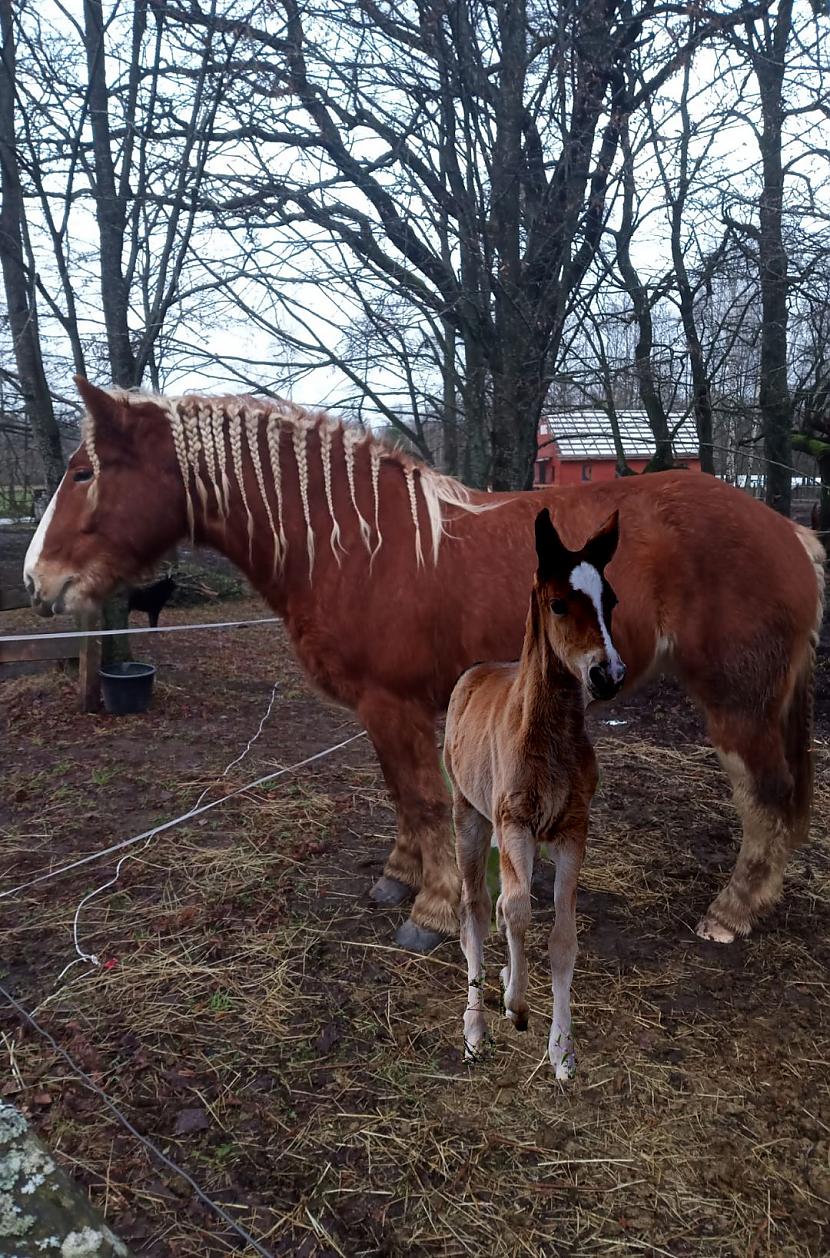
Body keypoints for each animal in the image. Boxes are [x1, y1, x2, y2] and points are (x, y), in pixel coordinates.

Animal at [22, 377, 819, 946]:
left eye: (84, 472)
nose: (37, 581)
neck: (357, 545)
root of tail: (789, 531)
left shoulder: (395, 704)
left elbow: (425, 799)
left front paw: (432, 913)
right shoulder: (381, 712)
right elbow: (402, 797)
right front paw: (397, 879)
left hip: (737, 703)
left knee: (765, 796)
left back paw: (732, 911)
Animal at [447, 505, 623, 1076]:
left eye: (611, 601)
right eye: (558, 603)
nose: (608, 674)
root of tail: (474, 671)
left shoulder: (571, 831)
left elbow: (561, 937)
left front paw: (562, 1050)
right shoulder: (515, 823)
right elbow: (517, 911)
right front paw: (517, 1008)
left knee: (501, 903)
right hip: (471, 817)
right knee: (478, 911)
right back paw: (476, 1027)